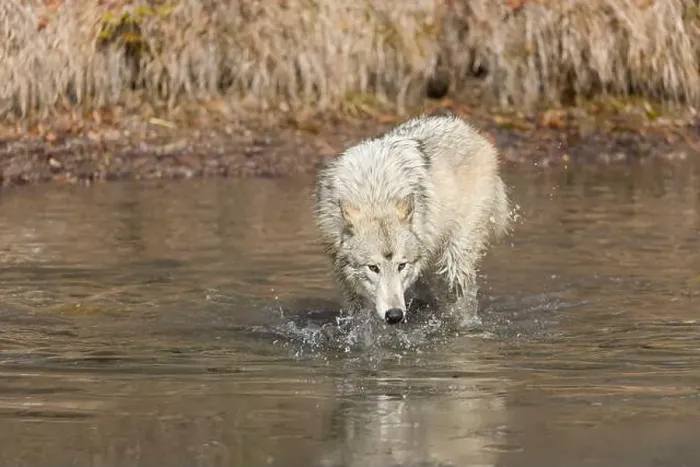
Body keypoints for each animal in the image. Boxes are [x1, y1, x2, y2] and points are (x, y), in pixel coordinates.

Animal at [313, 113, 512, 325]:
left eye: (401, 265)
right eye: (373, 267)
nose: (394, 315)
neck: (375, 197)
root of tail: (473, 133)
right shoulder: (345, 281)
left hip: (455, 258)